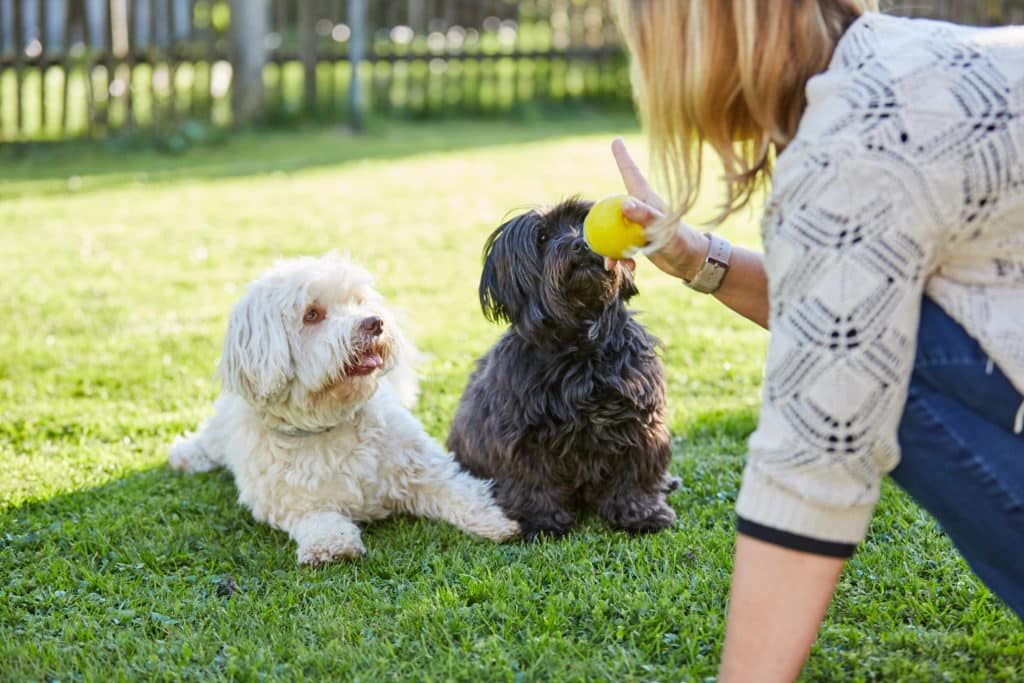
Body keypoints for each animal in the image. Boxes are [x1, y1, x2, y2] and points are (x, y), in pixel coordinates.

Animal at [171, 253, 520, 565]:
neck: (330, 420)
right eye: (312, 314)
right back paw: (186, 455)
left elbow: (459, 490)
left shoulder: (423, 467)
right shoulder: (290, 502)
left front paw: (496, 521)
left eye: (358, 301)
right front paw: (332, 546)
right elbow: (319, 519)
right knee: (210, 440)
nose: (374, 322)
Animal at [450, 196, 679, 540]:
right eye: (543, 238)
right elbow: (532, 480)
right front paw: (541, 521)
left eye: (582, 222)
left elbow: (634, 472)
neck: (579, 347)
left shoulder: (638, 421)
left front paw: (640, 513)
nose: (581, 244)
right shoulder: (523, 434)